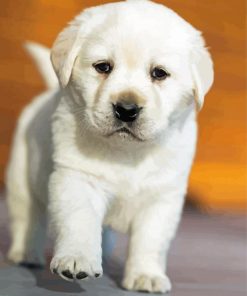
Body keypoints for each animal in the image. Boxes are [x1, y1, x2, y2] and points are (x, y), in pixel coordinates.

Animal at [6, 0, 213, 292]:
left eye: (159, 73)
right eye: (103, 67)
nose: (126, 109)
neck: (126, 152)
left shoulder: (162, 196)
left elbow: (151, 240)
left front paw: (146, 275)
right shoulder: (77, 179)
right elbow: (80, 221)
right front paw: (76, 260)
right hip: (21, 178)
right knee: (27, 218)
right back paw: (25, 253)